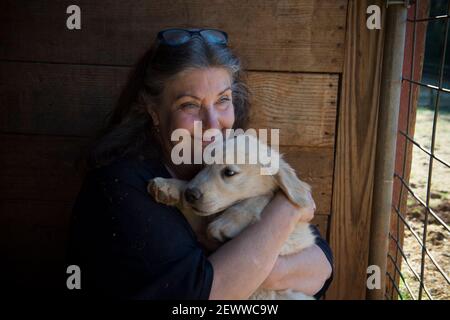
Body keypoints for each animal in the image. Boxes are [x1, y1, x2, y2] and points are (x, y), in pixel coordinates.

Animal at [148, 134, 316, 298]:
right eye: (204, 166)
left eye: (229, 172)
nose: (190, 194)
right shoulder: (202, 226)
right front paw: (168, 186)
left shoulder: (289, 242)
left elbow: (262, 197)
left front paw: (227, 223)